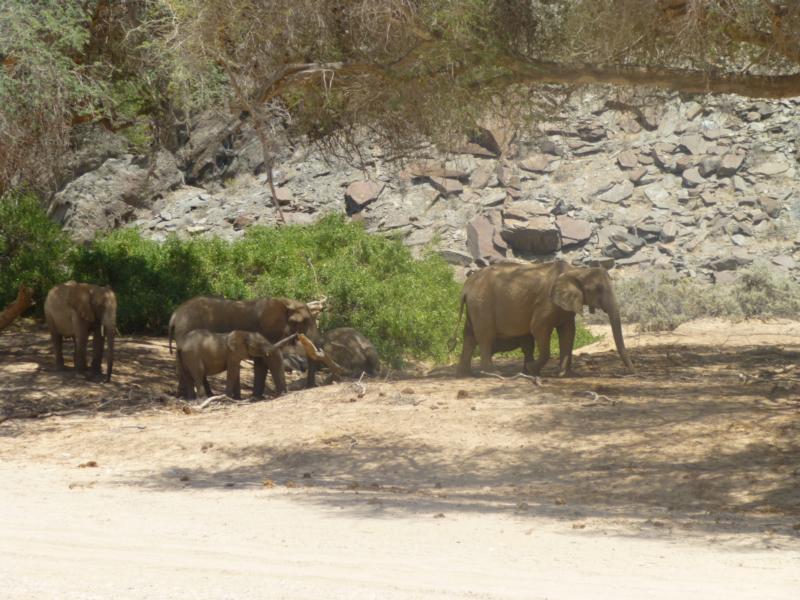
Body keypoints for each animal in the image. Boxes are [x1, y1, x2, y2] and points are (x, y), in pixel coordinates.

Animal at [170, 296, 322, 398]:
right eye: (302, 322)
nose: (310, 387)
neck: (284, 303)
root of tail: (175, 315)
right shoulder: (267, 331)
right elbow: (268, 360)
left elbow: (262, 362)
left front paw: (257, 397)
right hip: (186, 330)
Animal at [454, 262, 636, 378]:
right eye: (597, 289)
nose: (631, 372)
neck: (577, 270)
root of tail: (466, 286)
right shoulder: (547, 302)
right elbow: (538, 328)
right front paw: (532, 369)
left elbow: (568, 332)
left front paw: (565, 374)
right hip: (482, 304)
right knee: (485, 336)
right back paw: (493, 374)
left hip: (475, 306)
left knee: (469, 336)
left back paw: (464, 375)